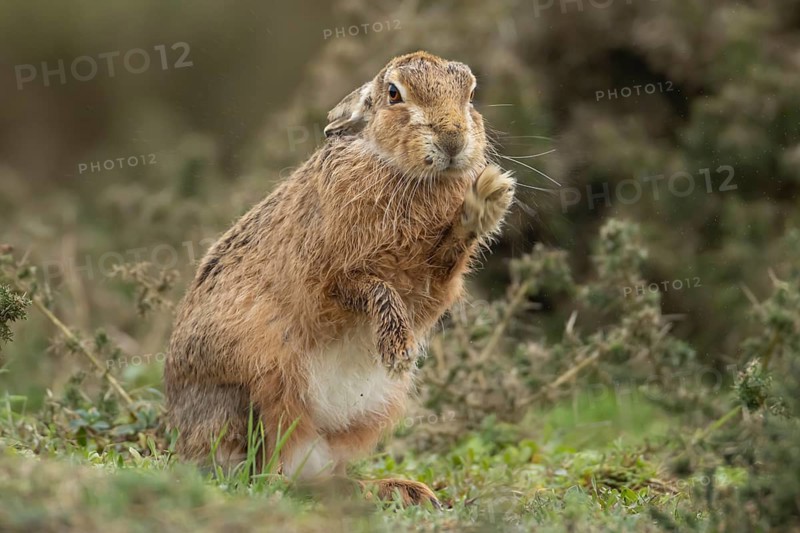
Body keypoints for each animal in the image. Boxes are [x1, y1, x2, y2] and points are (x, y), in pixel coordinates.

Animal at [164, 50, 515, 507]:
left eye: (470, 95)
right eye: (394, 94)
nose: (452, 140)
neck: (401, 171)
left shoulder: (430, 286)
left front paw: (489, 196)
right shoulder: (331, 276)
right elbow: (373, 288)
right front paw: (398, 350)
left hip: (361, 416)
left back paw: (397, 489)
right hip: (257, 388)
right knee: (264, 472)